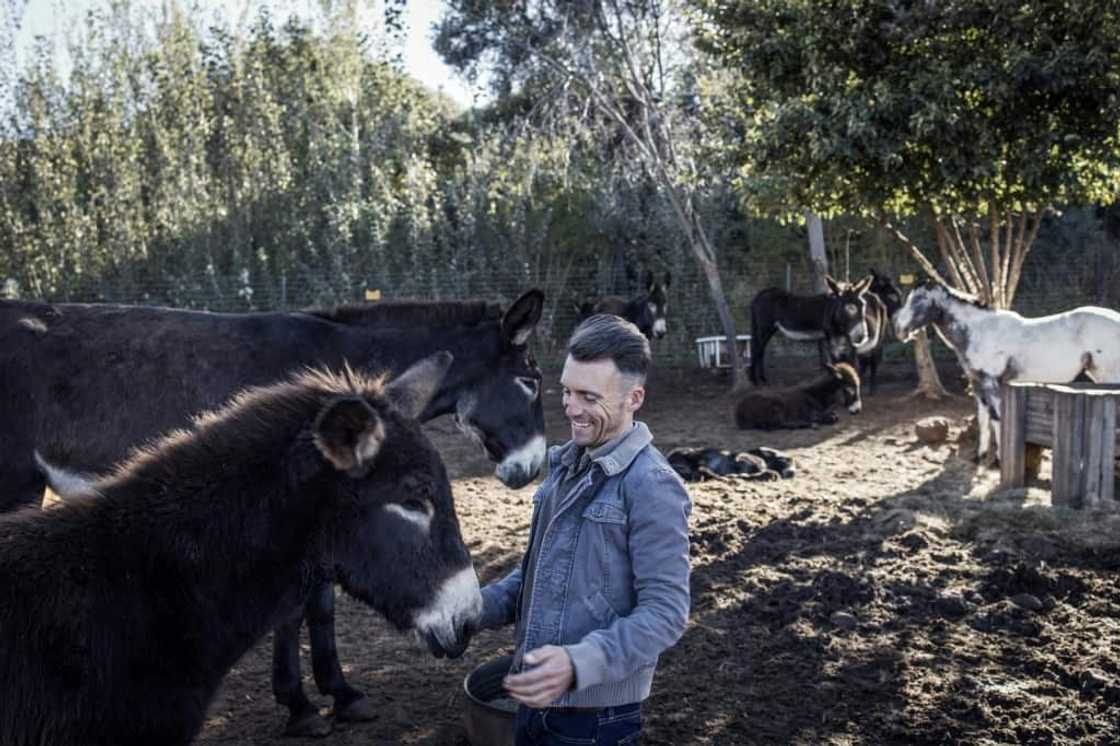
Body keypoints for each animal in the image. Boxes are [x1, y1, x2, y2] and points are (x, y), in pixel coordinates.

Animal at [896, 282, 1120, 461]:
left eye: (919, 300)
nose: (899, 330)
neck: (979, 331)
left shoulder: (992, 382)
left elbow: (997, 418)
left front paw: (999, 460)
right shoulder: (977, 383)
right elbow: (983, 418)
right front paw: (980, 456)